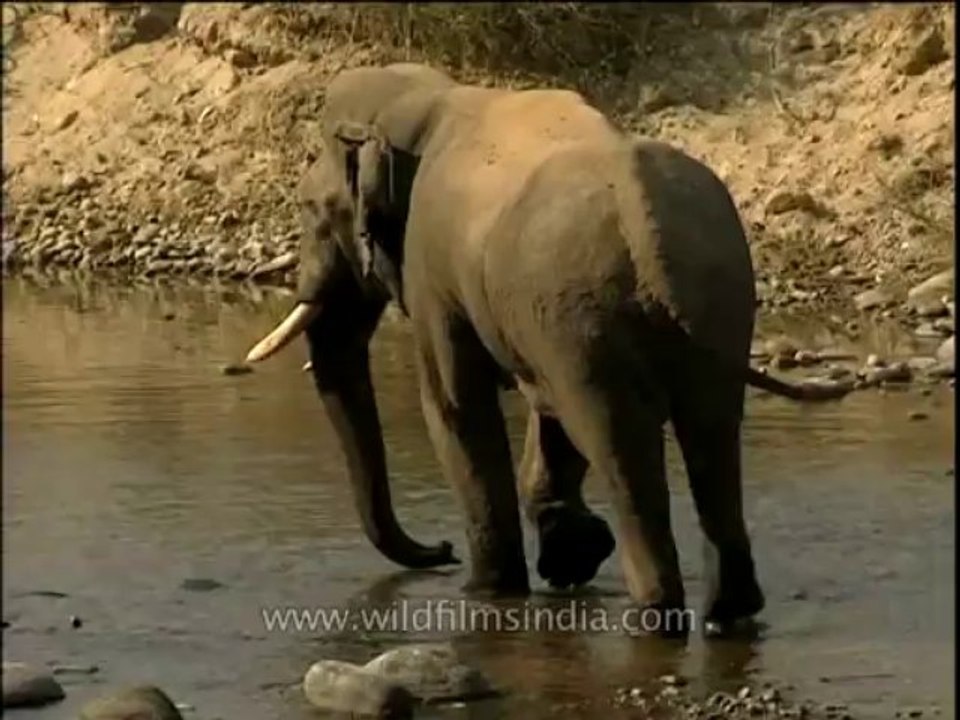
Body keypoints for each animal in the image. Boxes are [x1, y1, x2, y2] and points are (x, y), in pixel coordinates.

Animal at [245, 63, 850, 636]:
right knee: (711, 438)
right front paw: (572, 556)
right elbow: (543, 411)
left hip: (590, 321)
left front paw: (490, 592)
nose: (441, 550)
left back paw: (654, 616)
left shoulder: (432, 267)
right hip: (705, 308)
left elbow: (455, 409)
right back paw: (729, 614)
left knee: (616, 446)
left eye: (310, 210)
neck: (430, 96)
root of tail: (649, 227)